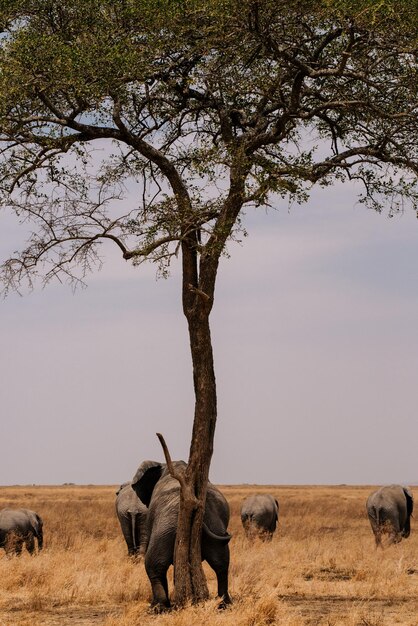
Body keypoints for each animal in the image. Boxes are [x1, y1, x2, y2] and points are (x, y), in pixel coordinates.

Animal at [131, 458, 232, 608]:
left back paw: (158, 607)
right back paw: (224, 604)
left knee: (153, 565)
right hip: (215, 525)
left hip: (165, 528)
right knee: (221, 563)